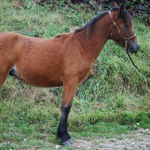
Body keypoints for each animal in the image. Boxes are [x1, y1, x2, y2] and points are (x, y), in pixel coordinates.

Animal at [0, 1, 138, 146]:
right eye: (126, 25)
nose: (136, 47)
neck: (81, 45)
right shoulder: (71, 82)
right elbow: (66, 108)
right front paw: (65, 137)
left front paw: (59, 135)